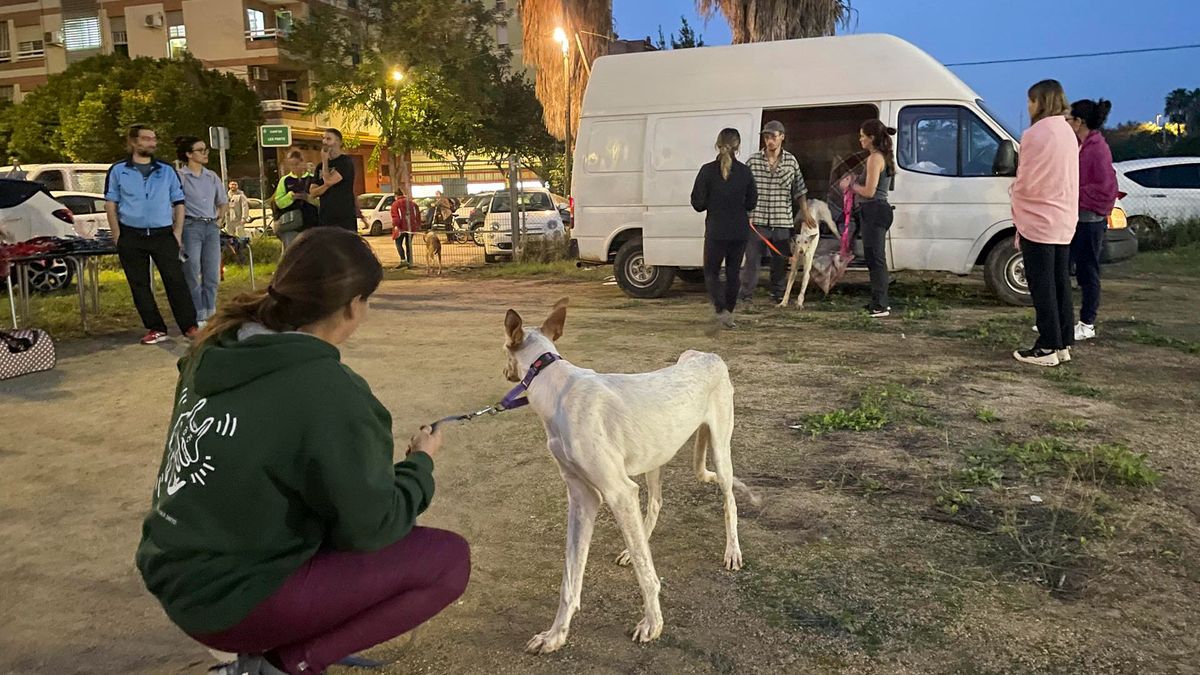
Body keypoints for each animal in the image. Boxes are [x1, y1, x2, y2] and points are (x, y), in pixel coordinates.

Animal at [506, 297, 758, 653]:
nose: (505, 372)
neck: (555, 386)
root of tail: (705, 354)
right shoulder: (583, 498)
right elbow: (571, 579)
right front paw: (556, 635)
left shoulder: (618, 491)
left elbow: (646, 574)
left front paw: (652, 623)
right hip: (654, 457)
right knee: (655, 504)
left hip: (721, 452)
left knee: (729, 500)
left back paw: (732, 552)